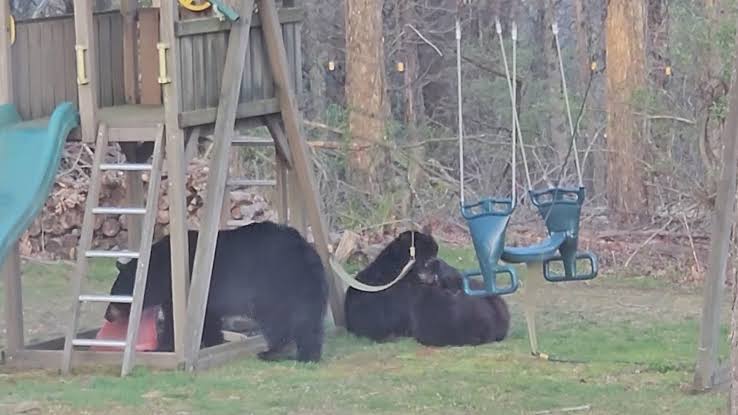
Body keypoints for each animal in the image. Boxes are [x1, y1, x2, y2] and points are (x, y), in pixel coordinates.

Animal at [105, 221, 329, 363]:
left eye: (114, 293)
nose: (107, 315)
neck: (161, 269)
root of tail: (305, 250)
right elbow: (209, 319)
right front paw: (213, 342)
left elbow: (174, 321)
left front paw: (164, 346)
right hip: (306, 287)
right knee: (310, 321)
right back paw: (309, 355)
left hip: (275, 285)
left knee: (278, 320)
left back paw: (271, 352)